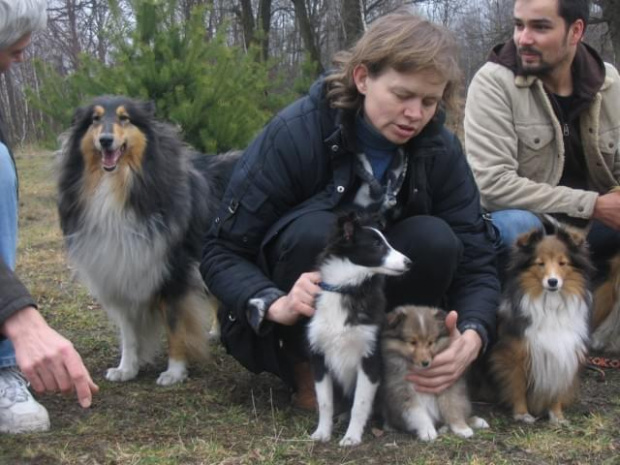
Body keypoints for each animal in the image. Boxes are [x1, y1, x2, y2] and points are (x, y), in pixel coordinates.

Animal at [57, 97, 237, 384]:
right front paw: (126, 368)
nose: (105, 140)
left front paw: (174, 372)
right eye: (95, 119)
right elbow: (128, 331)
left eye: (125, 118)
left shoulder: (173, 272)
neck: (117, 187)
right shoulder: (121, 271)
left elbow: (174, 326)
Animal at [306, 214, 412, 446]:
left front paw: (352, 437)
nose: (409, 262)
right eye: (376, 244)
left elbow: (360, 403)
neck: (347, 288)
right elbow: (325, 402)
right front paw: (322, 433)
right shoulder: (319, 357)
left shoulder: (370, 359)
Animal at [378, 304, 490, 438]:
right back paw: (389, 426)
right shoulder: (402, 391)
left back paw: (474, 421)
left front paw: (461, 428)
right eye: (412, 342)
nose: (425, 363)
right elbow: (418, 413)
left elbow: (453, 406)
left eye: (430, 342)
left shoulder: (447, 384)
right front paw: (427, 431)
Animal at [490, 227, 596, 422]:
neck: (550, 304)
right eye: (540, 263)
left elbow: (556, 388)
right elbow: (517, 386)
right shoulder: (514, 355)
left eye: (562, 263)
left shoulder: (562, 353)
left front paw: (557, 416)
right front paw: (522, 414)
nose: (552, 282)